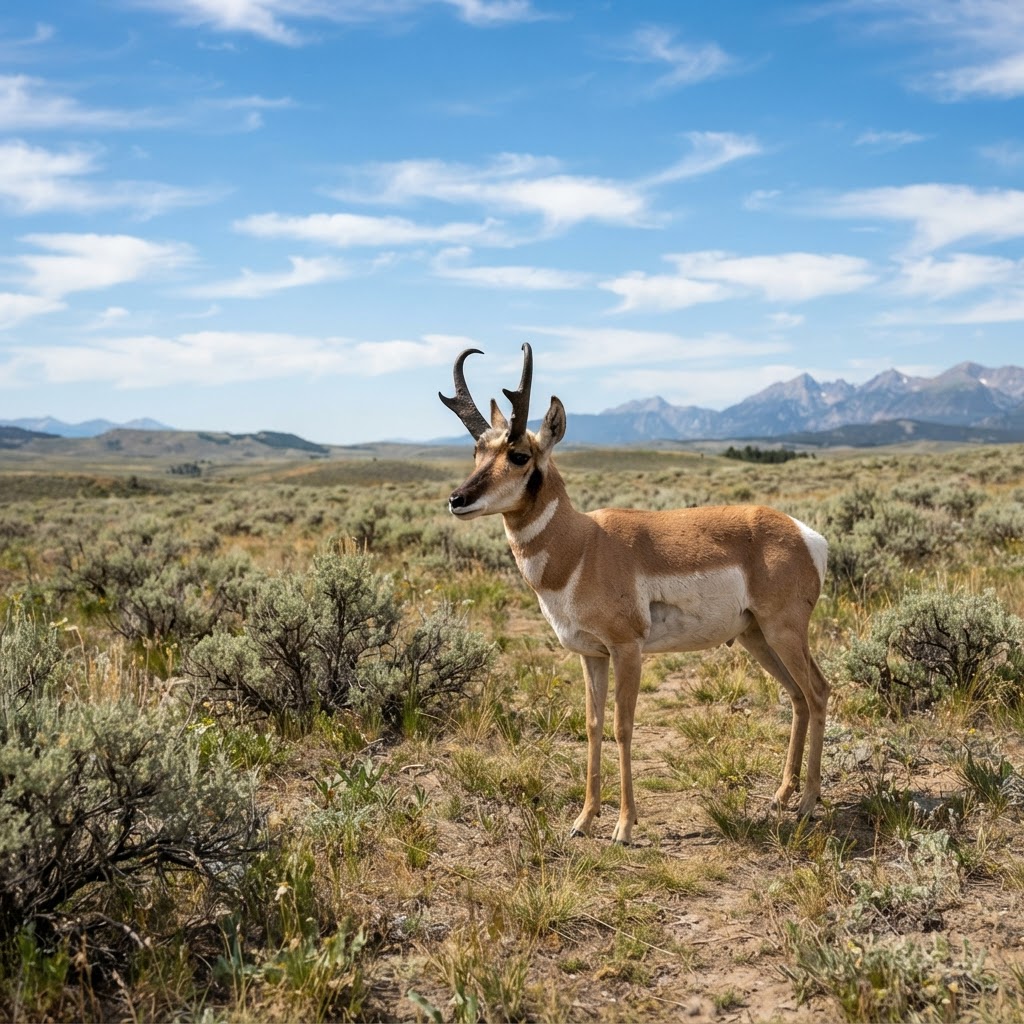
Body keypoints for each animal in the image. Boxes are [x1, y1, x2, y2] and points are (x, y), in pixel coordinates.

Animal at [440, 344, 830, 845]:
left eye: (520, 454)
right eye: (477, 450)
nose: (458, 499)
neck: (583, 544)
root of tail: (804, 533)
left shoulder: (628, 650)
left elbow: (623, 728)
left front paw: (624, 826)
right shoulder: (591, 655)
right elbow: (592, 726)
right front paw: (583, 820)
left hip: (784, 632)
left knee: (818, 691)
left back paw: (807, 803)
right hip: (756, 637)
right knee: (798, 696)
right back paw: (782, 795)